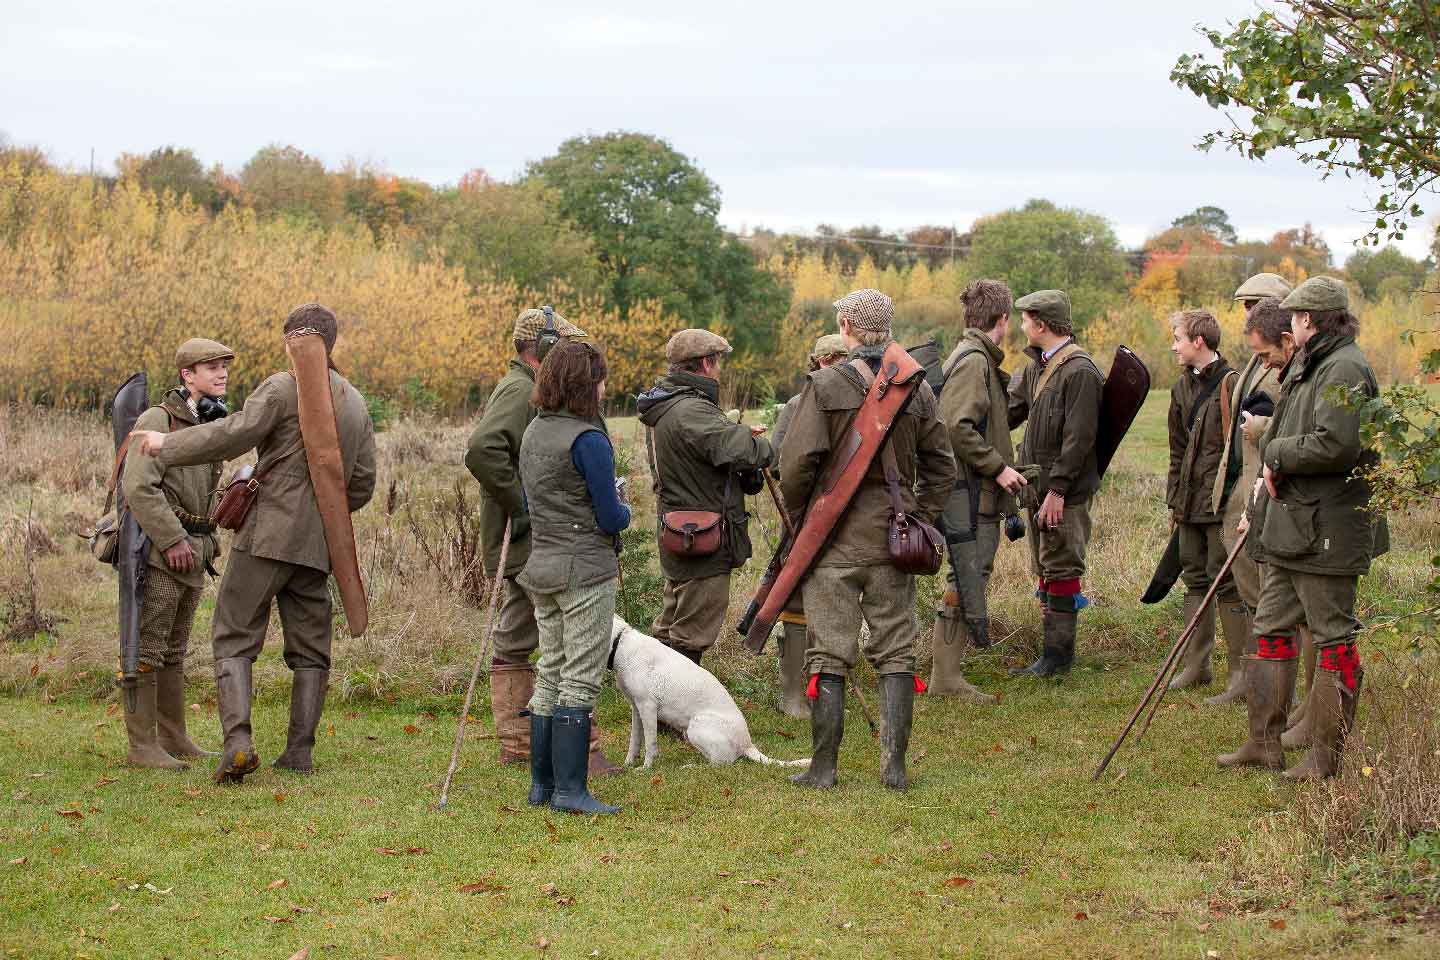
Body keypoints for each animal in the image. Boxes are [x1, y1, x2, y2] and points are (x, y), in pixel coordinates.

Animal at [607, 616, 812, 771]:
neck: (621, 642)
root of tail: (747, 744)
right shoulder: (637, 709)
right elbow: (634, 741)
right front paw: (628, 765)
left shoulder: (648, 707)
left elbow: (650, 744)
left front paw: (646, 769)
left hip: (695, 727)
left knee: (719, 764)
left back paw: (690, 767)